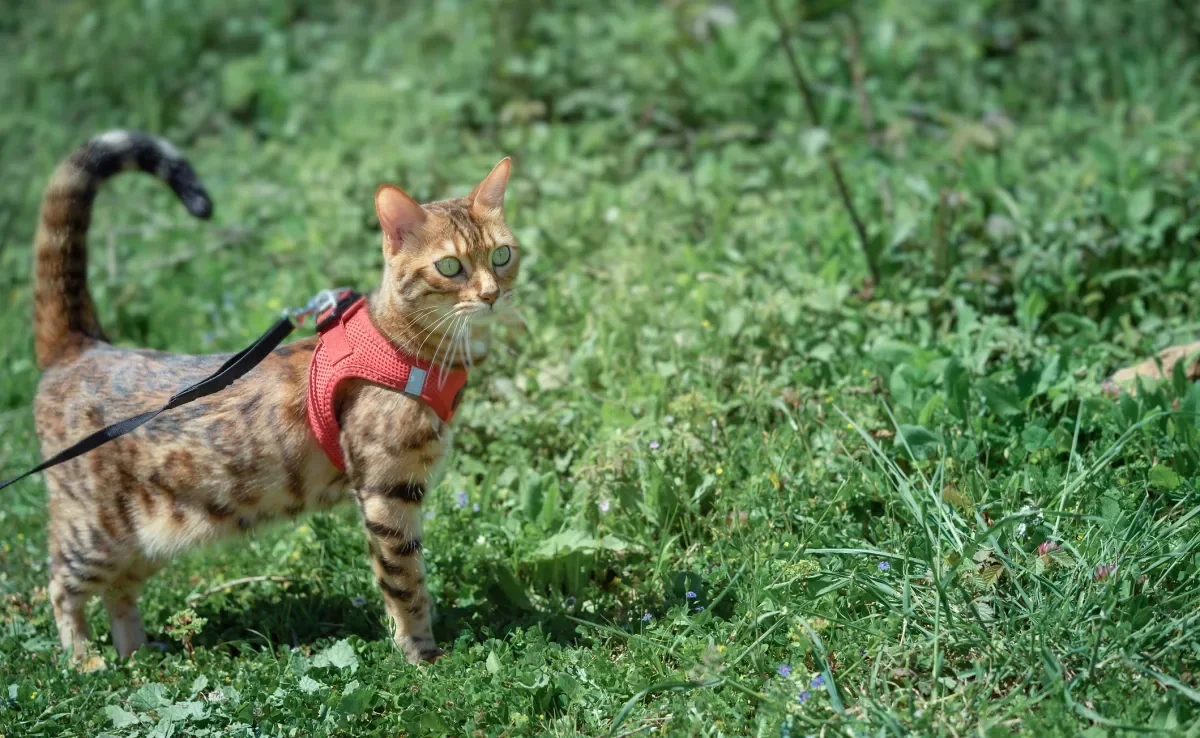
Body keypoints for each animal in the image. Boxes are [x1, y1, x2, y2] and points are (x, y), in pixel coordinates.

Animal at [30, 130, 518, 667]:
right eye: (449, 266)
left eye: (501, 255)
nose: (492, 294)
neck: (402, 349)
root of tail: (82, 346)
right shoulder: (386, 491)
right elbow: (405, 582)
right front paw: (421, 655)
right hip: (96, 531)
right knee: (60, 585)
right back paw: (85, 661)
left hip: (149, 538)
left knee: (120, 591)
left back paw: (138, 655)